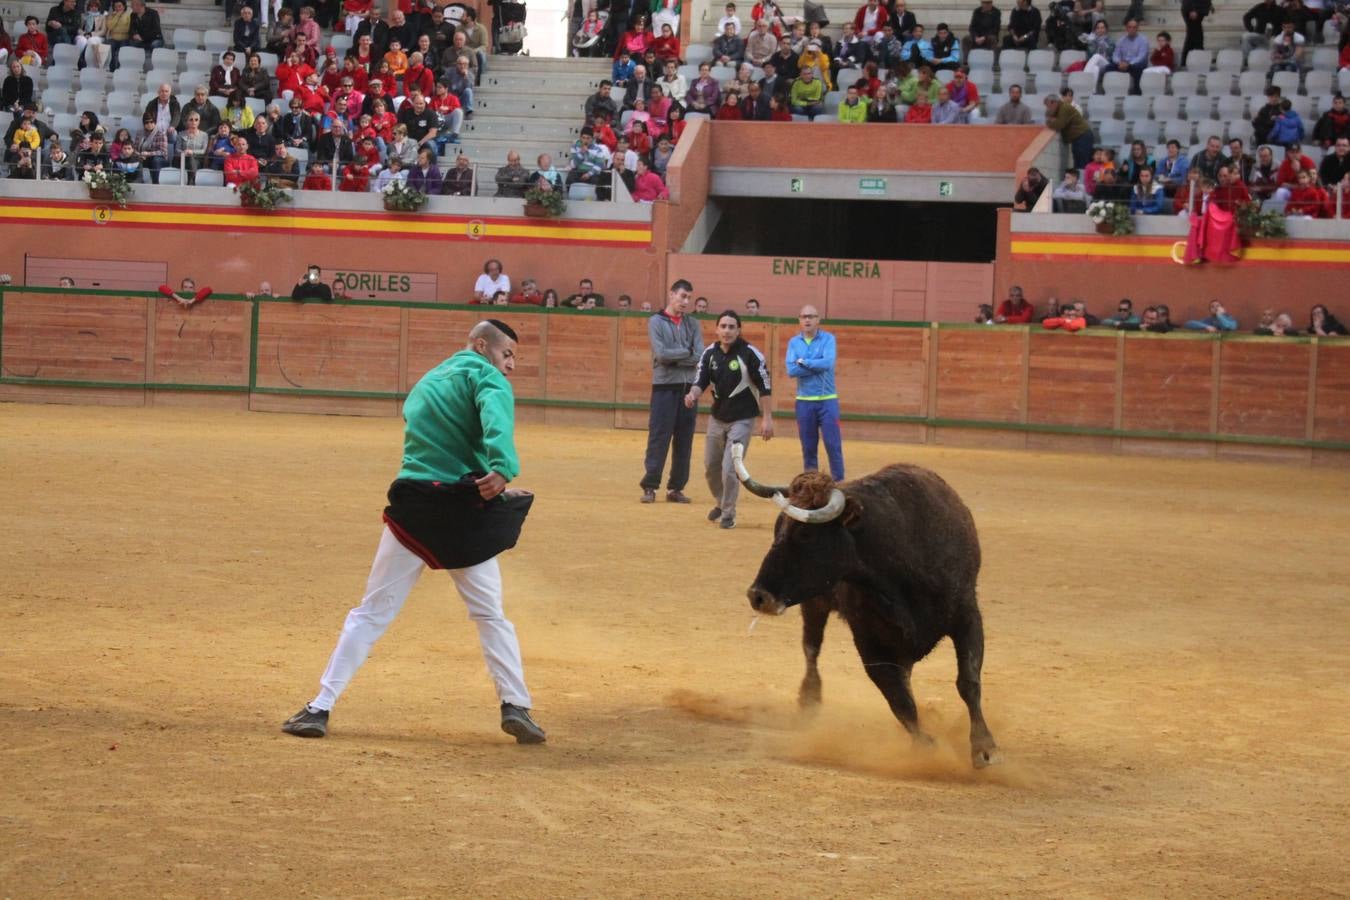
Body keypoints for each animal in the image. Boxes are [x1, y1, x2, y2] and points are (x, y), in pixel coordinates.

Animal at [729, 442, 1004, 766]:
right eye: (777, 530)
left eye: (805, 534)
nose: (757, 595)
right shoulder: (868, 641)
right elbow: (900, 701)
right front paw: (926, 750)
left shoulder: (967, 615)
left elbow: (968, 681)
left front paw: (985, 748)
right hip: (815, 603)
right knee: (812, 647)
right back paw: (809, 700)